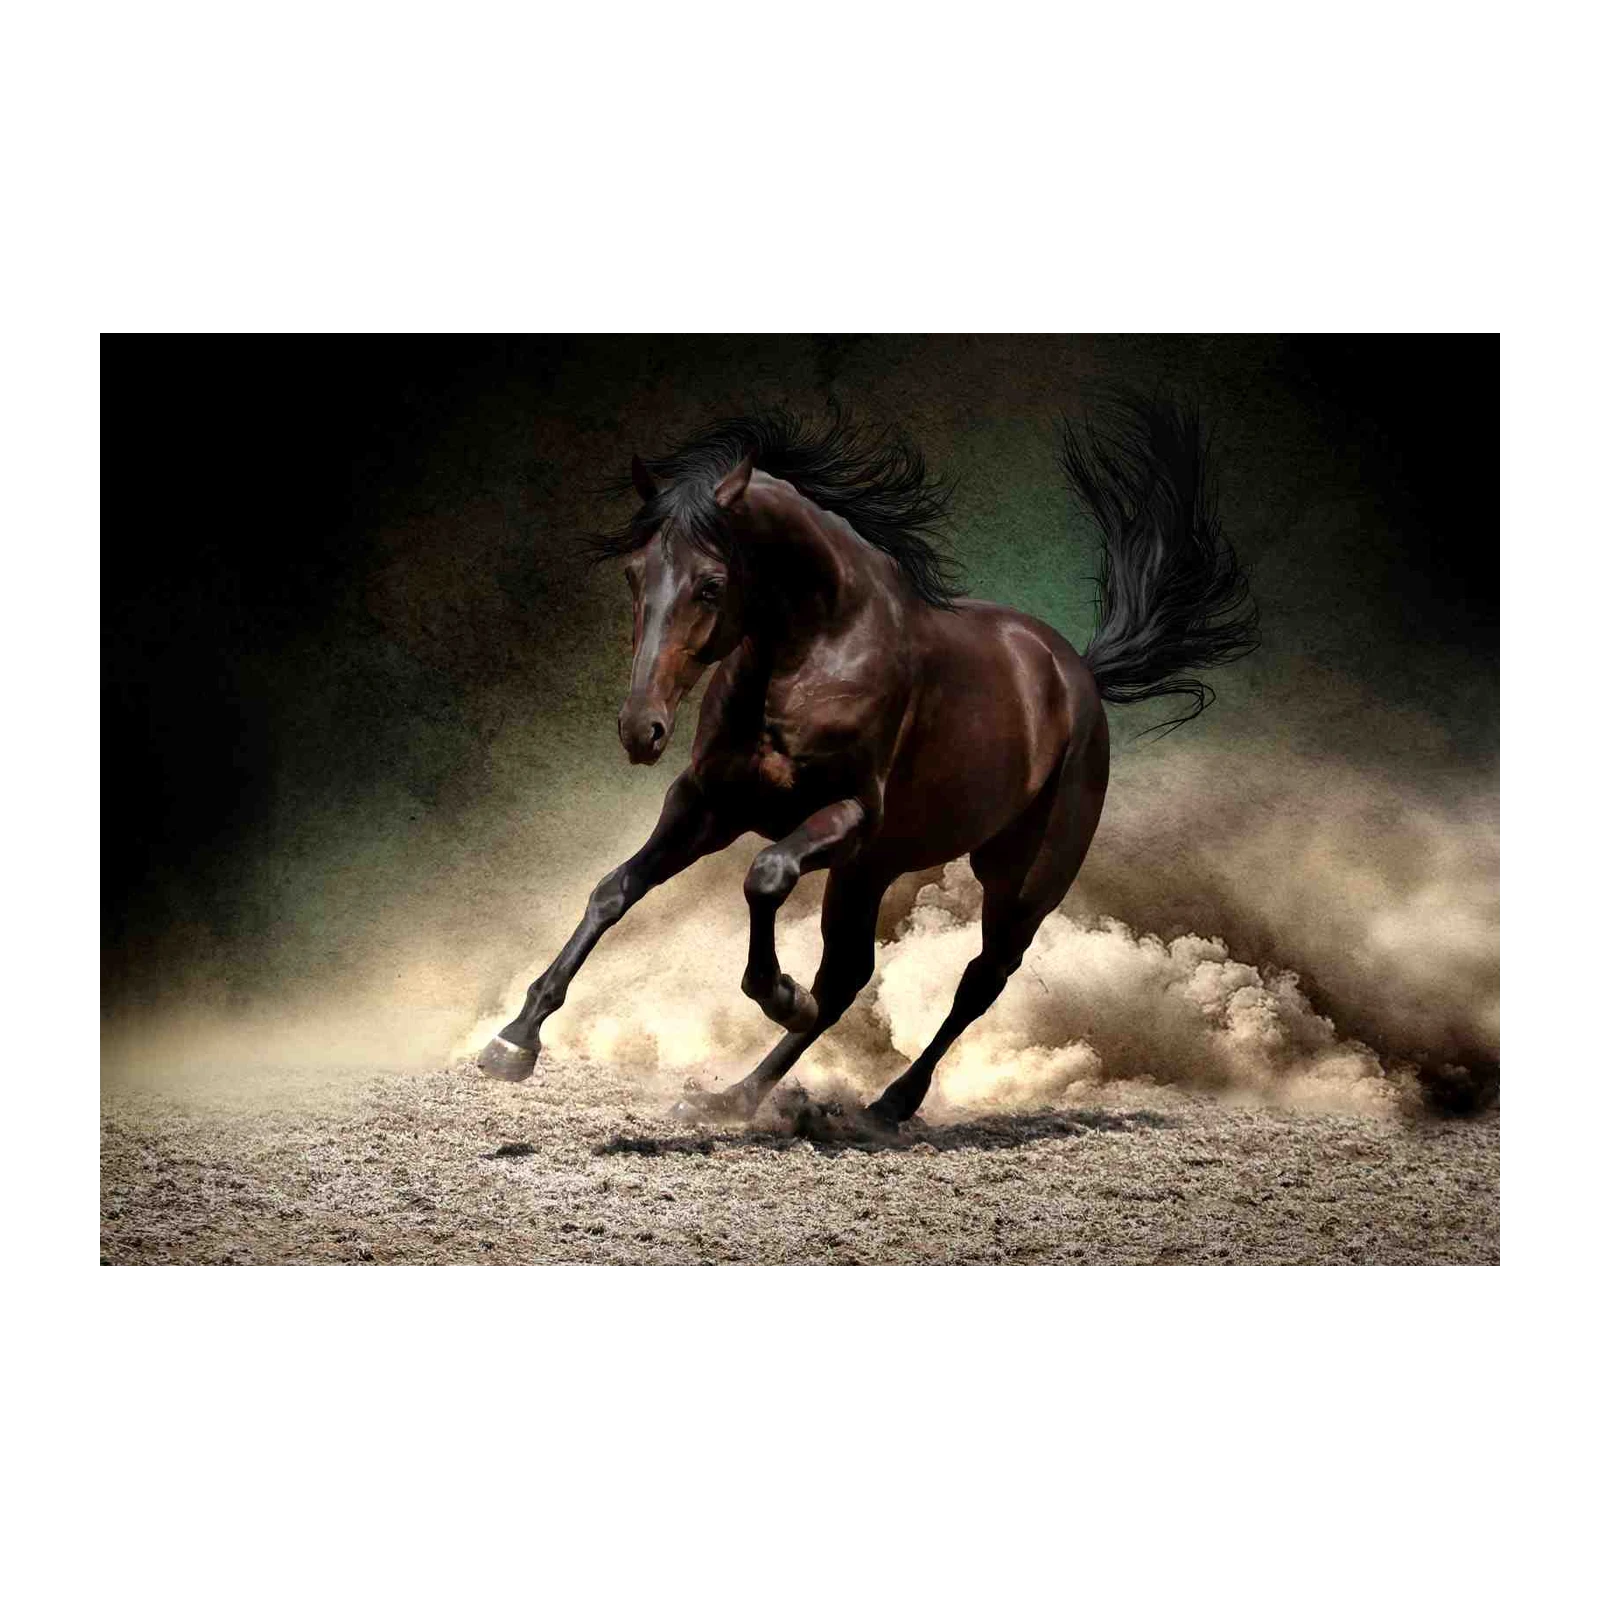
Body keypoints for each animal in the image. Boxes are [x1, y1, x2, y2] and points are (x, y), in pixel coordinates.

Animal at [477, 393, 1260, 1124]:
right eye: (635, 576)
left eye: (710, 584)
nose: (641, 729)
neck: (815, 652)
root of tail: (1078, 677)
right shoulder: (708, 805)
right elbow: (615, 890)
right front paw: (515, 1039)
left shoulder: (847, 816)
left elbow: (765, 877)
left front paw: (778, 994)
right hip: (872, 872)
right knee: (849, 977)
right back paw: (732, 1098)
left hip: (1018, 883)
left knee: (979, 981)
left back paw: (889, 1103)